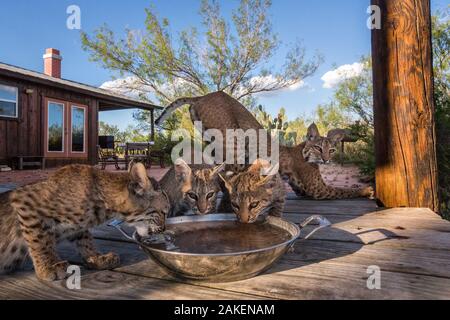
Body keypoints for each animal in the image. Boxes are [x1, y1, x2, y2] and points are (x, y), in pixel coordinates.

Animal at [0, 164, 169, 282]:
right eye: (163, 213)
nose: (163, 229)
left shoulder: (78, 226)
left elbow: (85, 238)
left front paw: (96, 258)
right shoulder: (24, 201)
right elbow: (40, 241)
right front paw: (49, 267)